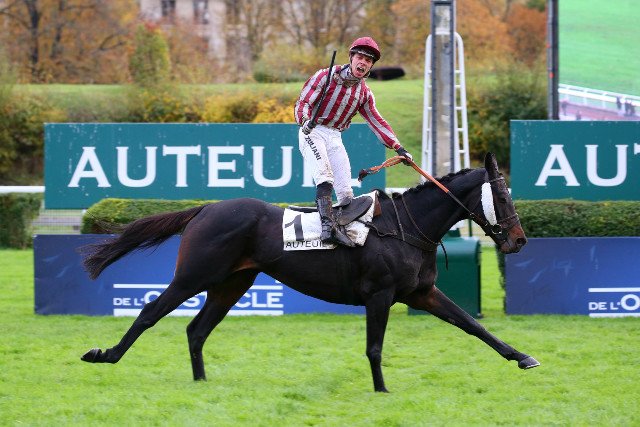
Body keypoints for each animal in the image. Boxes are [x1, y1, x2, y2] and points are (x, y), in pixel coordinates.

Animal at [81, 152, 539, 392]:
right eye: (501, 195)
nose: (519, 240)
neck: (407, 227)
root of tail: (204, 209)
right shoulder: (380, 295)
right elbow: (375, 348)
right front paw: (381, 389)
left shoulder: (421, 292)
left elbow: (472, 325)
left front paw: (522, 357)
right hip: (194, 275)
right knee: (149, 312)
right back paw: (104, 354)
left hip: (232, 283)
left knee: (197, 329)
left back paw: (201, 380)